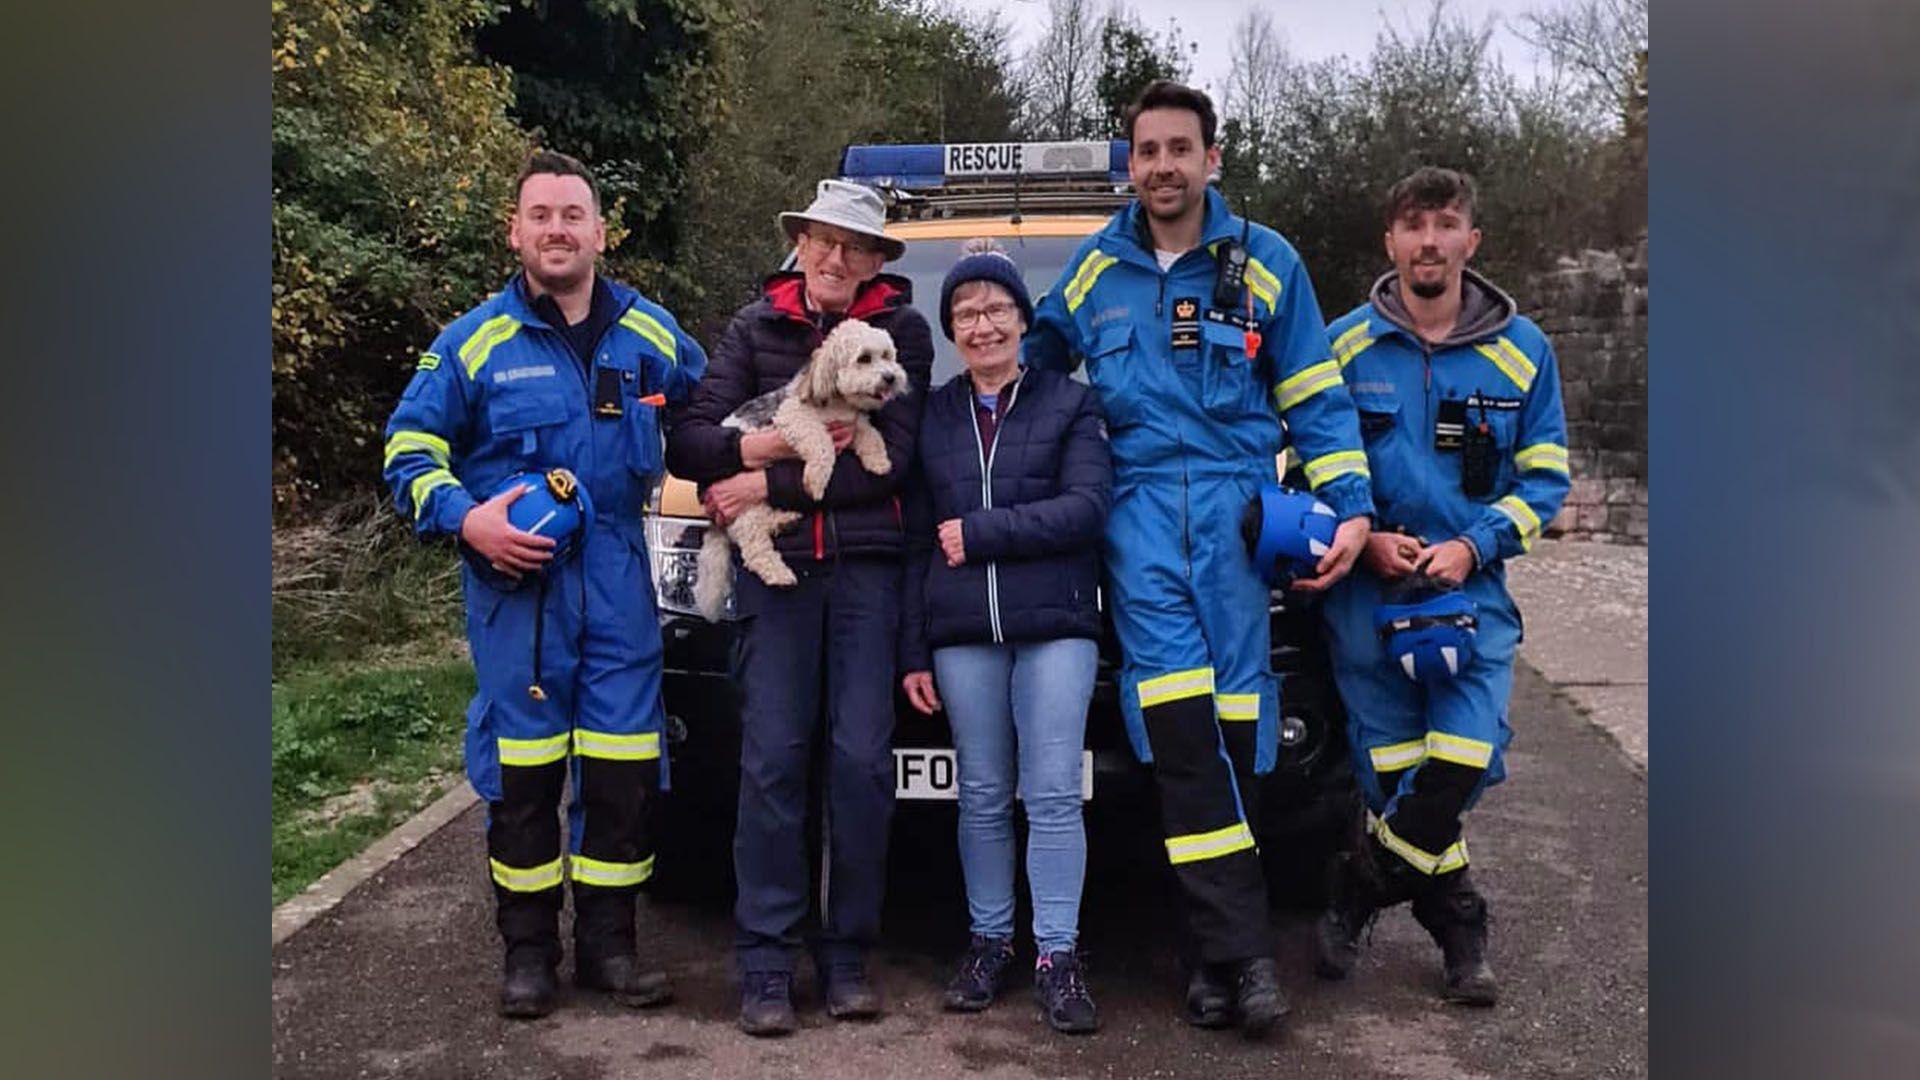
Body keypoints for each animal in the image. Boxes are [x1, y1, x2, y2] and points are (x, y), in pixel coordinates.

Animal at [698, 315, 906, 618]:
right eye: (864, 358)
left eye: (887, 356)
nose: (891, 377)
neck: (837, 402)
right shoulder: (794, 417)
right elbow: (822, 444)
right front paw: (816, 480)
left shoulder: (852, 423)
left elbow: (870, 434)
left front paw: (879, 461)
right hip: (744, 503)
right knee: (753, 544)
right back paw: (779, 573)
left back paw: (784, 518)